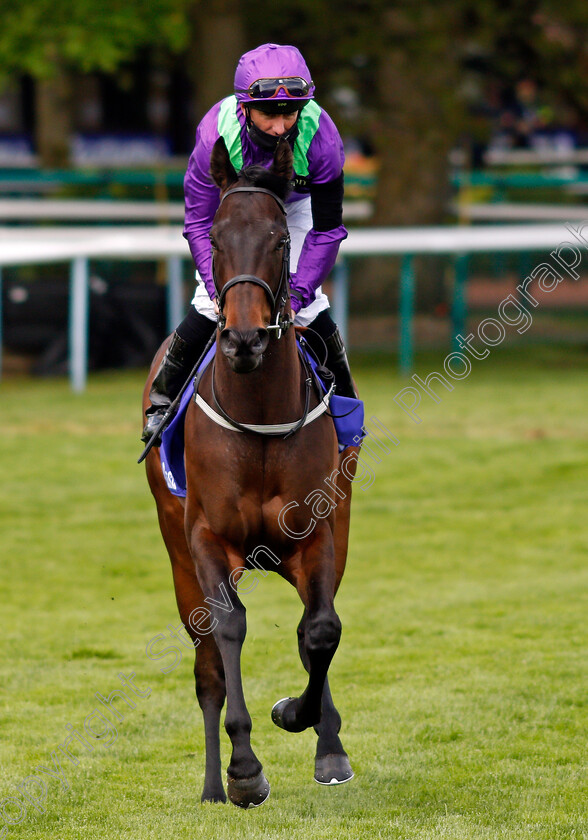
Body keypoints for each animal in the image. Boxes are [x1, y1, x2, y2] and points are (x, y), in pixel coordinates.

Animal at [145, 138, 360, 808]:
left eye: (279, 239)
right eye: (214, 236)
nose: (242, 338)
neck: (260, 415)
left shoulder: (317, 534)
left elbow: (321, 630)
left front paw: (305, 721)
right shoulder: (206, 539)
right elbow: (230, 630)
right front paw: (244, 770)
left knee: (312, 629)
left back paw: (325, 737)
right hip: (177, 555)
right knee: (208, 668)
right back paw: (216, 785)